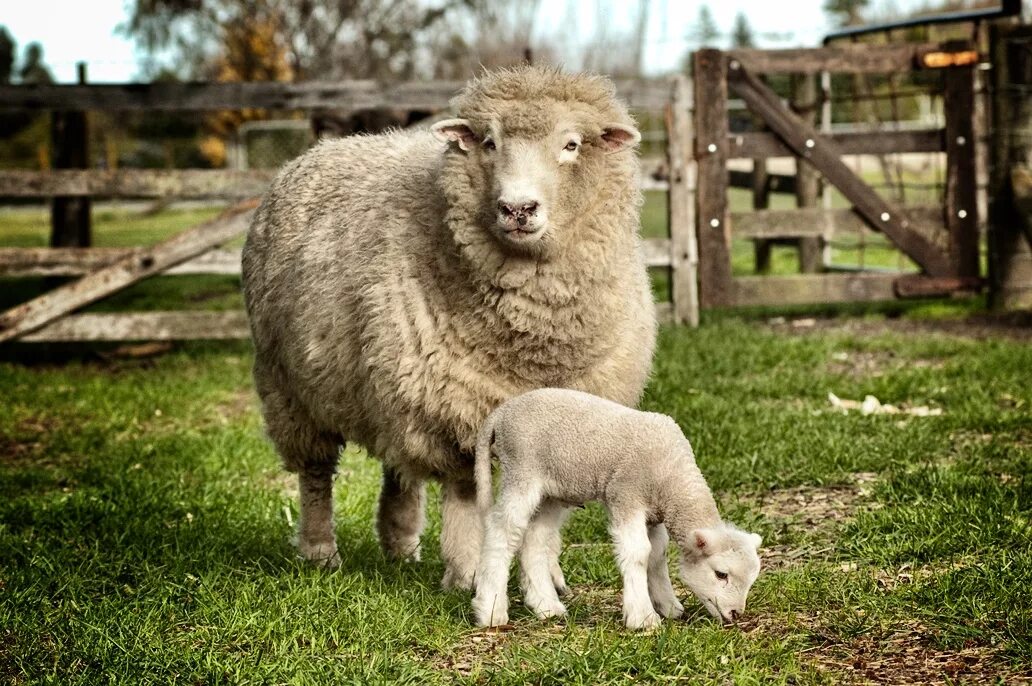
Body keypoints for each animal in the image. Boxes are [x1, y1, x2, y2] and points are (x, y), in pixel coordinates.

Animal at [241, 65, 652, 590]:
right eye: (490, 142)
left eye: (572, 144)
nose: (518, 209)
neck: (533, 341)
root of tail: (319, 151)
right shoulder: (456, 409)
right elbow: (463, 494)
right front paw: (467, 573)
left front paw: (550, 574)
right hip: (292, 388)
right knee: (315, 472)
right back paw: (320, 552)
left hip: (387, 383)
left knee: (397, 464)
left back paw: (400, 544)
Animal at [472, 387, 763, 627]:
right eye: (721, 574)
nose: (736, 614)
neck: (671, 475)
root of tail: (500, 414)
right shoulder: (625, 495)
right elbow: (638, 553)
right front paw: (643, 618)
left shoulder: (654, 514)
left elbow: (657, 555)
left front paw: (668, 606)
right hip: (522, 470)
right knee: (503, 531)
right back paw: (492, 610)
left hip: (551, 491)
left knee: (535, 540)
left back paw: (547, 606)